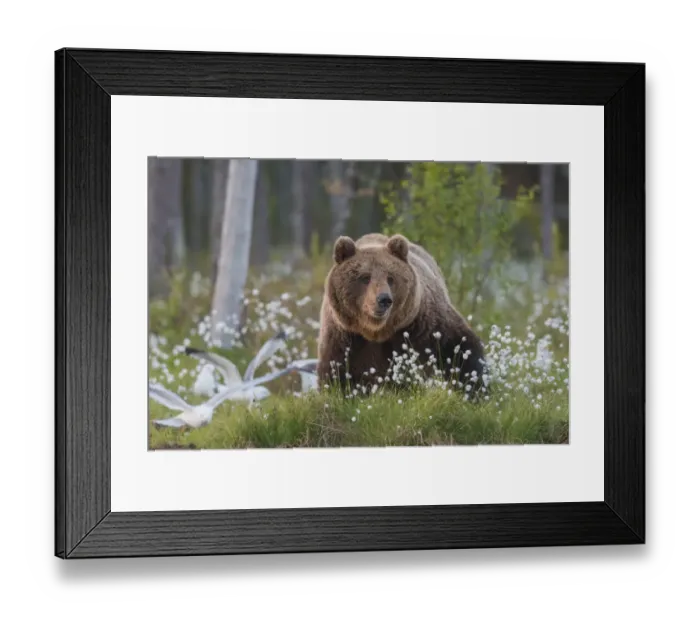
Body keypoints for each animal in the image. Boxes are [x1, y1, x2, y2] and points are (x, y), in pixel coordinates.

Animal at [317, 232, 488, 397]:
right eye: (365, 277)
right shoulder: (344, 337)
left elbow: (460, 347)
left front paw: (475, 390)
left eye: (390, 278)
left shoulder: (423, 326)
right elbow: (335, 372)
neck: (377, 332)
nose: (384, 299)